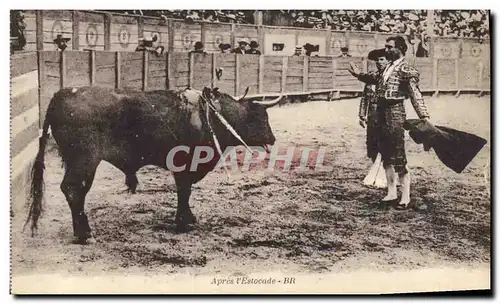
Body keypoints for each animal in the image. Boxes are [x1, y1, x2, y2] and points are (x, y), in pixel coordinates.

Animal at [26, 85, 282, 245]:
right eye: (260, 118)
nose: (272, 139)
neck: (211, 116)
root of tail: (60, 95)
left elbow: (185, 192)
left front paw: (188, 218)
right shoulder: (186, 165)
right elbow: (184, 191)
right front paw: (183, 222)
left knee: (72, 191)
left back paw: (80, 232)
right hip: (84, 160)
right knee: (74, 189)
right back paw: (85, 234)